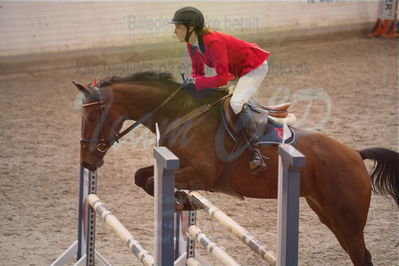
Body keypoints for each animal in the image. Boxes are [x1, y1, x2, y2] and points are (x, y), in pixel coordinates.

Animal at [74, 71, 399, 264]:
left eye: (92, 117)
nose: (87, 161)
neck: (180, 114)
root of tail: (355, 155)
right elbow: (141, 178)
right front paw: (186, 200)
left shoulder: (202, 173)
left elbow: (154, 183)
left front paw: (182, 201)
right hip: (328, 215)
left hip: (349, 221)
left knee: (362, 255)